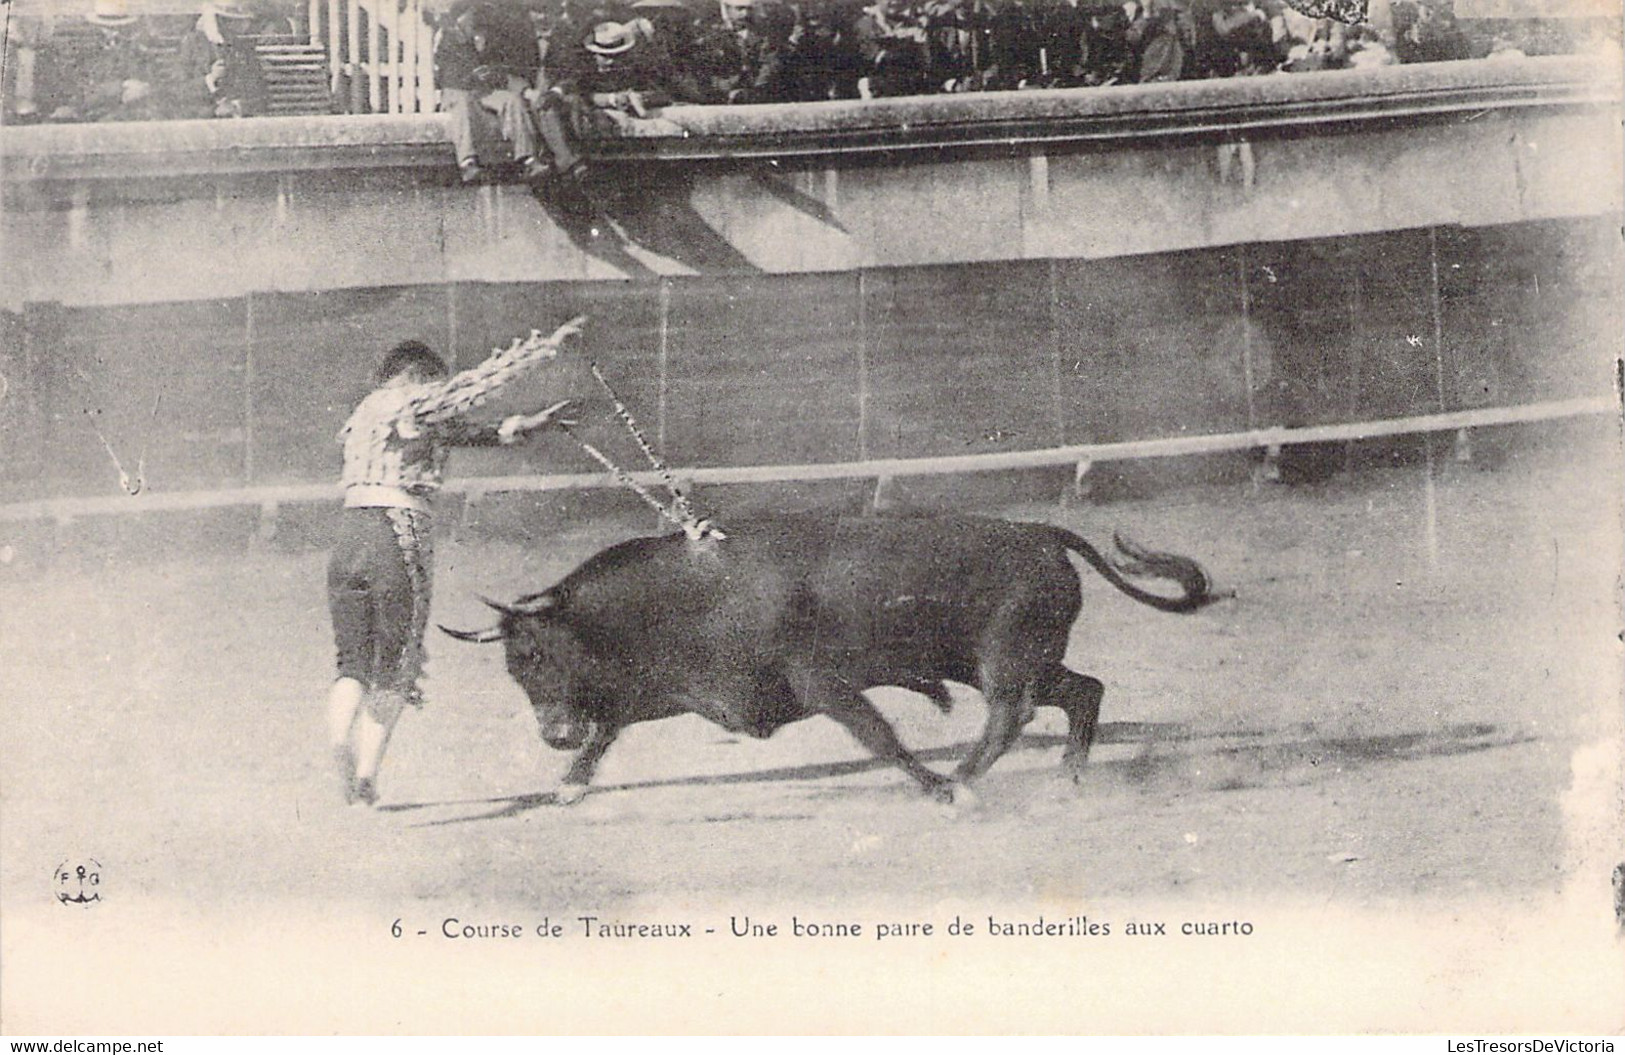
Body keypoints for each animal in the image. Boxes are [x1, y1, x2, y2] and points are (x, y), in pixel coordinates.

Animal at [438, 513, 1215, 803]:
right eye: (512, 666)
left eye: (533, 651)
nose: (550, 734)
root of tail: (1039, 530)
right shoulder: (684, 692)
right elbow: (610, 728)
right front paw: (569, 782)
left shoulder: (821, 681)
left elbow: (875, 732)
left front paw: (931, 785)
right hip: (1018, 659)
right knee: (1083, 689)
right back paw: (1071, 771)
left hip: (1004, 659)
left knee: (1011, 712)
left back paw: (963, 779)